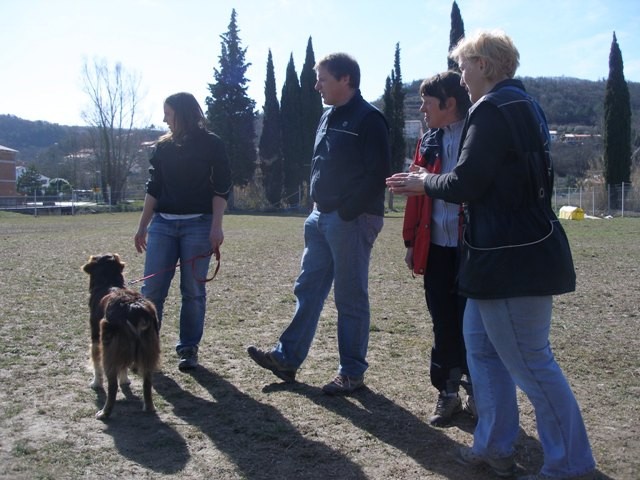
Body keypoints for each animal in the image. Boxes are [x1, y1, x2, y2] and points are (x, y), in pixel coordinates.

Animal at [82, 255, 160, 420]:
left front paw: (95, 383)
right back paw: (149, 407)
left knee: (112, 387)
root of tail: (133, 308)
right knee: (147, 382)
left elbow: (96, 364)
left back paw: (104, 413)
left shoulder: (96, 339)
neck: (109, 281)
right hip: (148, 349)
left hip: (109, 348)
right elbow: (123, 368)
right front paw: (125, 380)